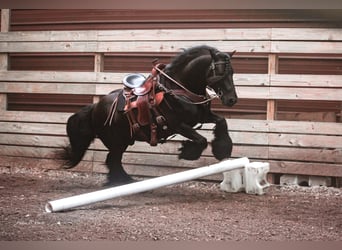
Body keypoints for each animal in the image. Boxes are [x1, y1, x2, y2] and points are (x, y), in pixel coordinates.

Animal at [60, 45, 238, 186]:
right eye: (220, 71)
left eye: (232, 72)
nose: (232, 99)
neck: (178, 89)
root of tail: (95, 107)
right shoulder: (178, 125)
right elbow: (201, 140)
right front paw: (187, 152)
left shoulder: (201, 116)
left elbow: (222, 121)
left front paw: (222, 149)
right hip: (117, 142)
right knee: (113, 159)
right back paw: (122, 182)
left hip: (123, 141)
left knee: (113, 160)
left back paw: (122, 181)